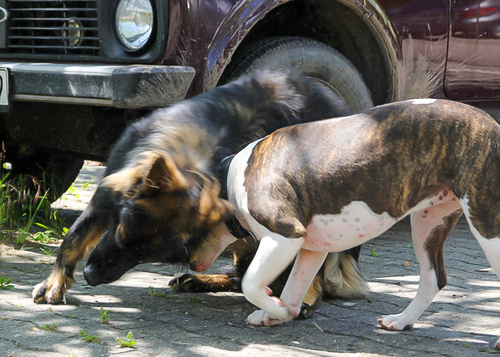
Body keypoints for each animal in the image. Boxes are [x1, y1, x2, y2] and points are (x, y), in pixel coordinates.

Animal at [216, 98, 500, 348]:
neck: (229, 175)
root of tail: (492, 124)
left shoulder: (284, 237)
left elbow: (250, 283)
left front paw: (277, 309)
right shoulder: (311, 249)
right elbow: (294, 285)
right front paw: (278, 312)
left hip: (486, 224)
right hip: (428, 224)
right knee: (433, 278)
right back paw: (402, 320)